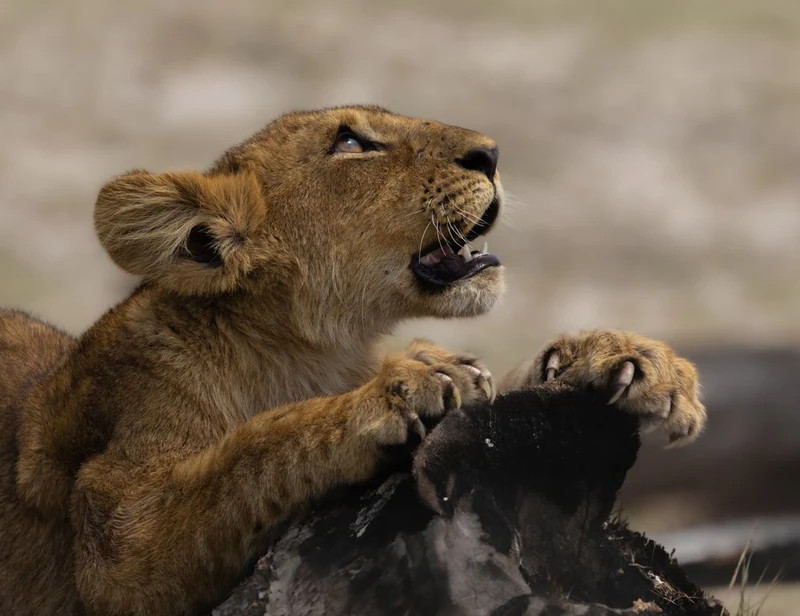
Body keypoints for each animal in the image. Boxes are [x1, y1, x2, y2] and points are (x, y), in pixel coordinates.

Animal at [0, 105, 706, 615]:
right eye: (348, 143)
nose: (493, 153)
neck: (311, 351)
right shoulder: (115, 539)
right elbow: (250, 447)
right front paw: (402, 389)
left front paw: (628, 357)